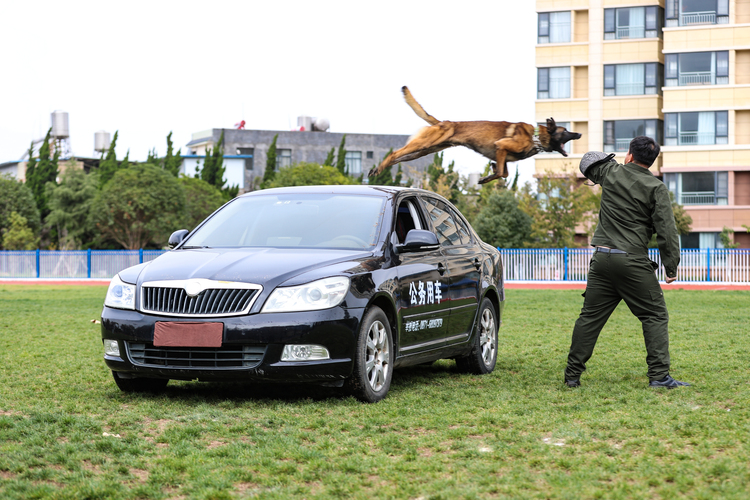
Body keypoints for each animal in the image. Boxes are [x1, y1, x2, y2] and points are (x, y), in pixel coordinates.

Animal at [368, 87, 580, 185]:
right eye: (565, 131)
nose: (579, 133)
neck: (535, 137)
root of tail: (443, 122)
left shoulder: (501, 155)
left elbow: (503, 172)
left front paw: (488, 175)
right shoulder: (501, 146)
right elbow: (501, 172)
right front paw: (487, 178)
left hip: (422, 150)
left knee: (398, 157)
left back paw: (379, 169)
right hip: (423, 144)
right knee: (394, 153)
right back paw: (378, 169)